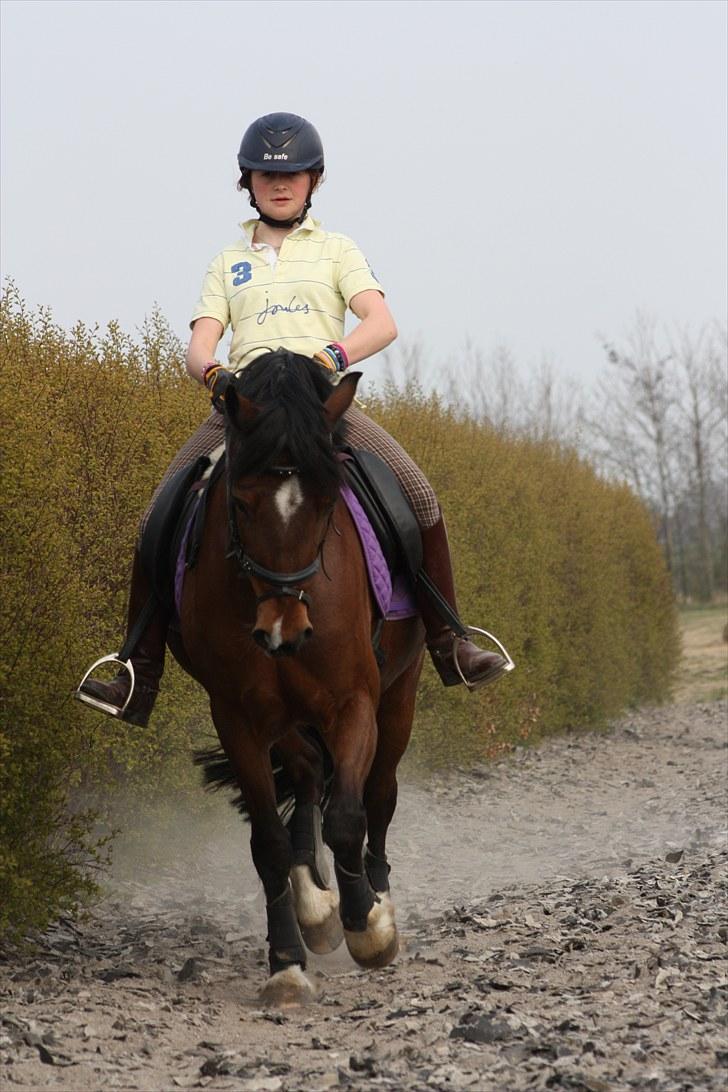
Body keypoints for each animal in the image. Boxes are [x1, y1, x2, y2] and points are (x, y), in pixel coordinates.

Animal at [166, 351, 423, 1004]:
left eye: (328, 504)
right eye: (240, 503)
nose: (283, 630)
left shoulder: (354, 701)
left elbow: (350, 818)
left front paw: (369, 929)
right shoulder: (238, 715)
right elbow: (269, 843)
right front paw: (286, 962)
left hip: (399, 696)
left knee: (379, 793)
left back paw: (374, 900)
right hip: (283, 716)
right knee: (307, 777)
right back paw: (315, 908)